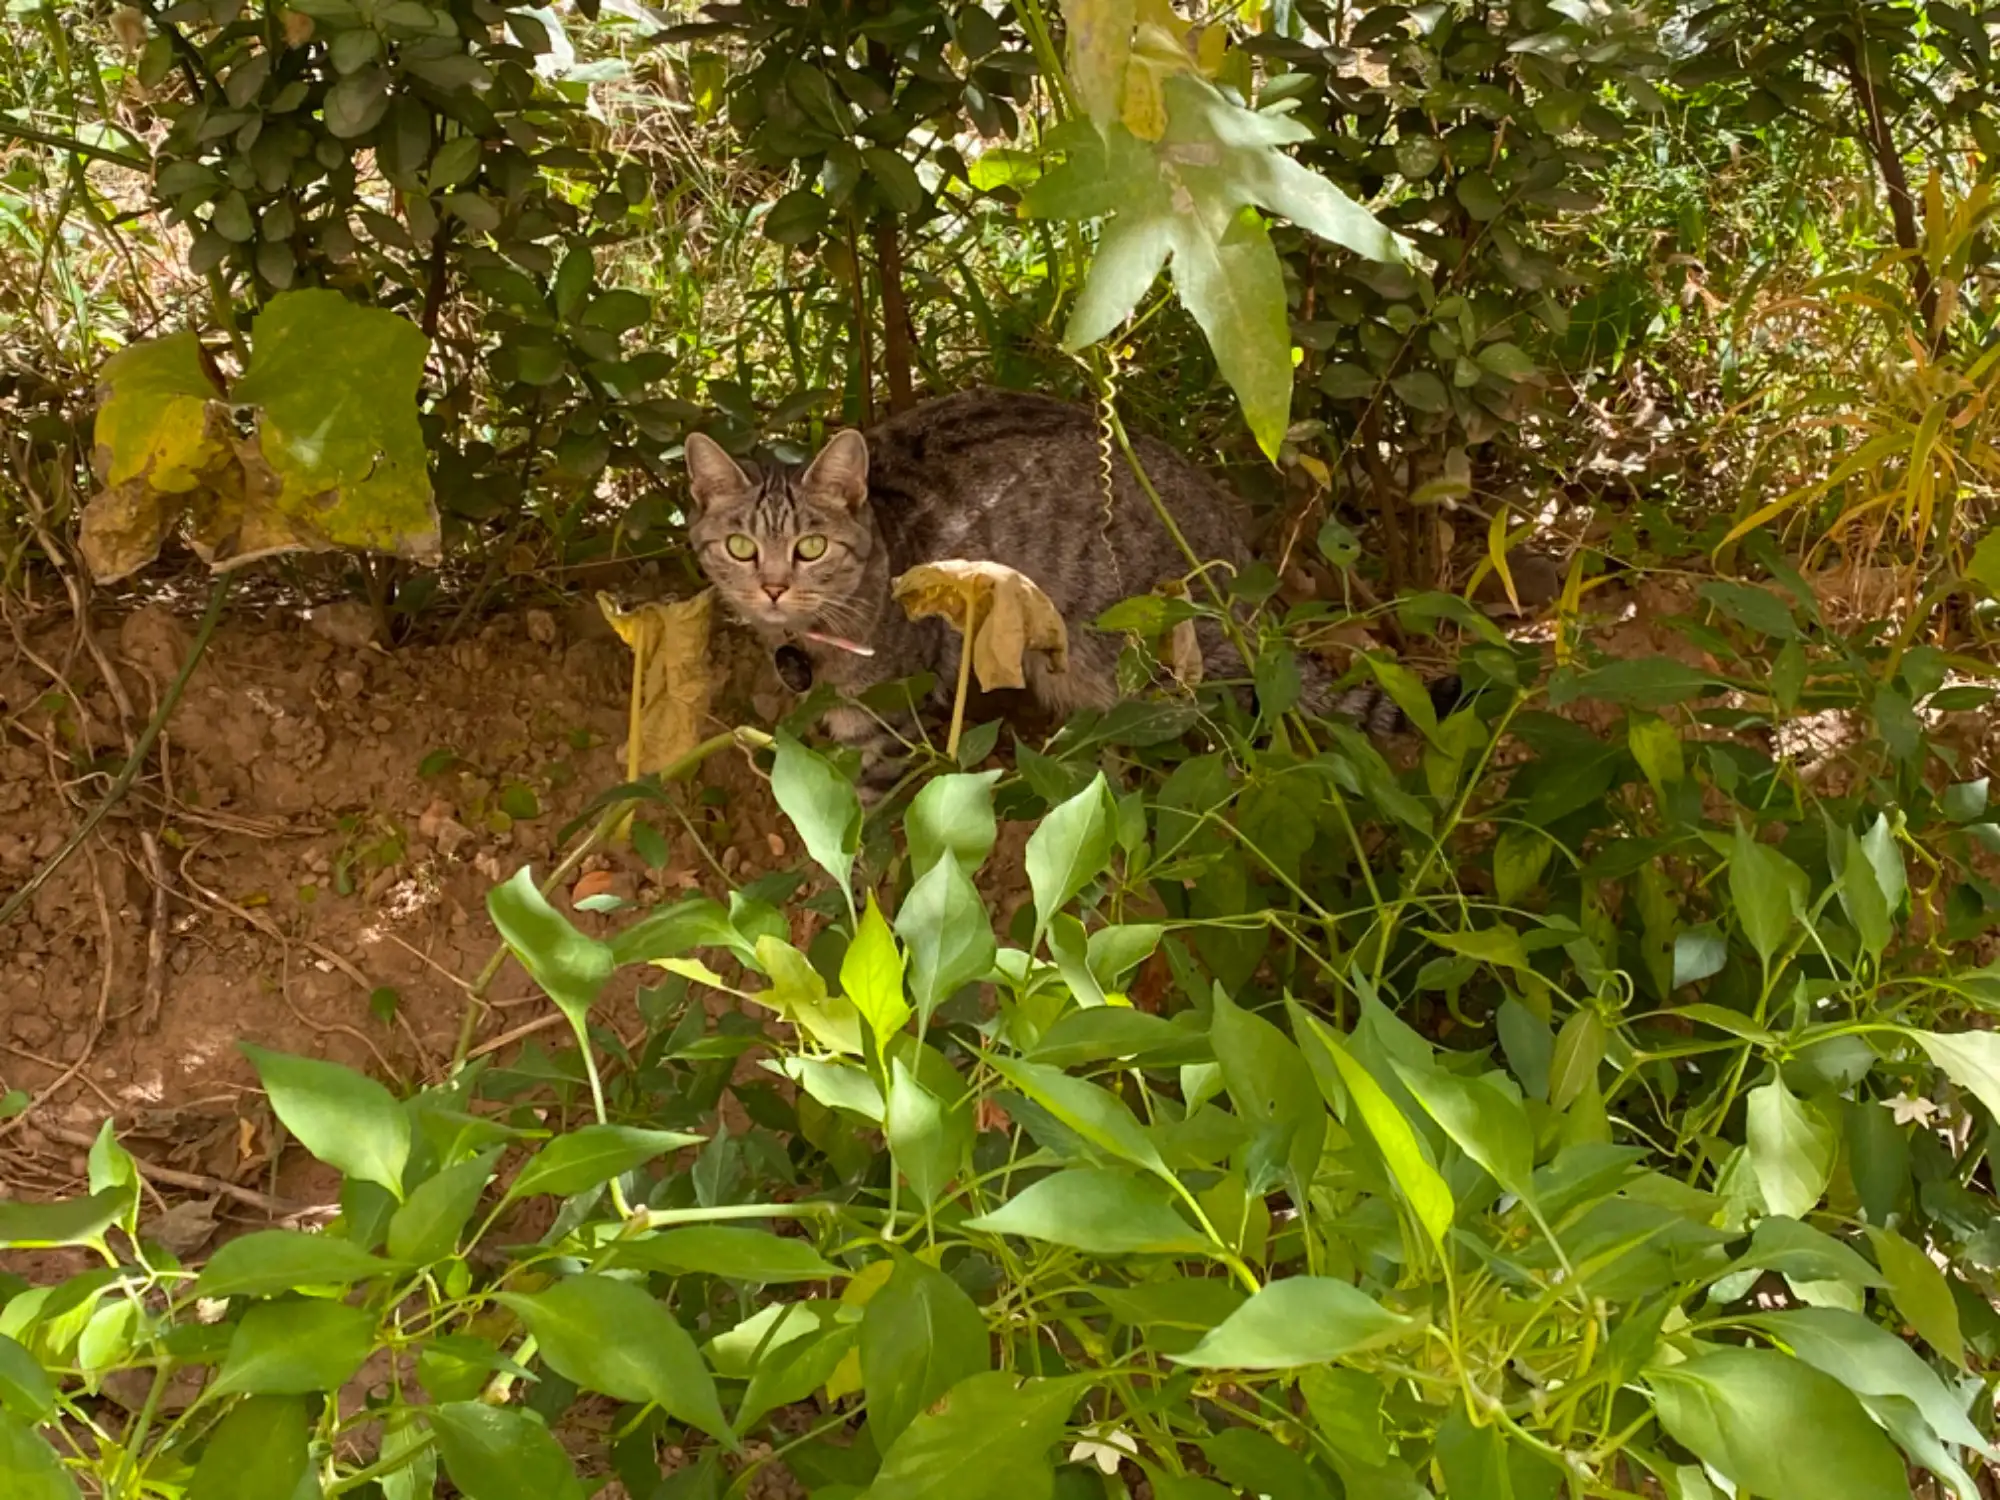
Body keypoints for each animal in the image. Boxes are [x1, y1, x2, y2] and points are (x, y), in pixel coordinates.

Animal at [680, 384, 1448, 788]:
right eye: (742, 547)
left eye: (809, 547)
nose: (773, 587)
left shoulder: (892, 714)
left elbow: (859, 813)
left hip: (1145, 658)